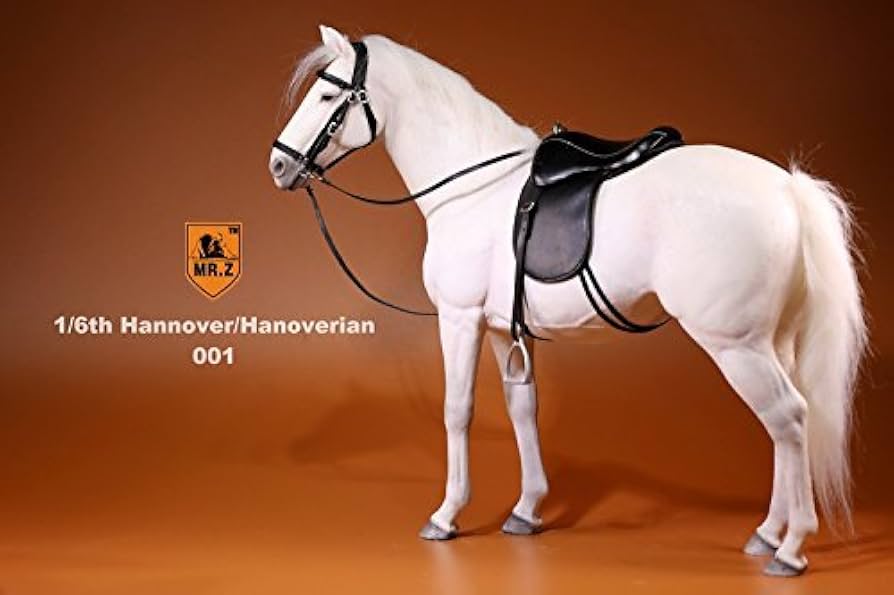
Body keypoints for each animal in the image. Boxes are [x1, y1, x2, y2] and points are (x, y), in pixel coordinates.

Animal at [268, 25, 867, 577]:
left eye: (327, 95)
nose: (278, 165)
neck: (475, 189)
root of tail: (786, 189)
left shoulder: (459, 320)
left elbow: (457, 411)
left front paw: (446, 515)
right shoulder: (503, 329)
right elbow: (522, 409)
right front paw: (527, 510)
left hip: (736, 346)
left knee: (788, 418)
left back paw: (790, 548)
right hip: (772, 344)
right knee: (786, 429)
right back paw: (768, 533)